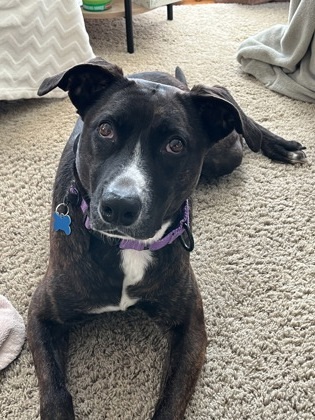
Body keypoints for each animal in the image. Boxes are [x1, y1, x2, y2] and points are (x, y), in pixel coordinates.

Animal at [28, 56, 308, 420]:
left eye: (175, 145)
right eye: (105, 129)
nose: (119, 206)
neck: (126, 249)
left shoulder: (191, 328)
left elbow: (171, 398)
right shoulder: (42, 314)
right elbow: (55, 391)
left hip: (225, 154)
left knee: (238, 120)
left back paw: (281, 145)